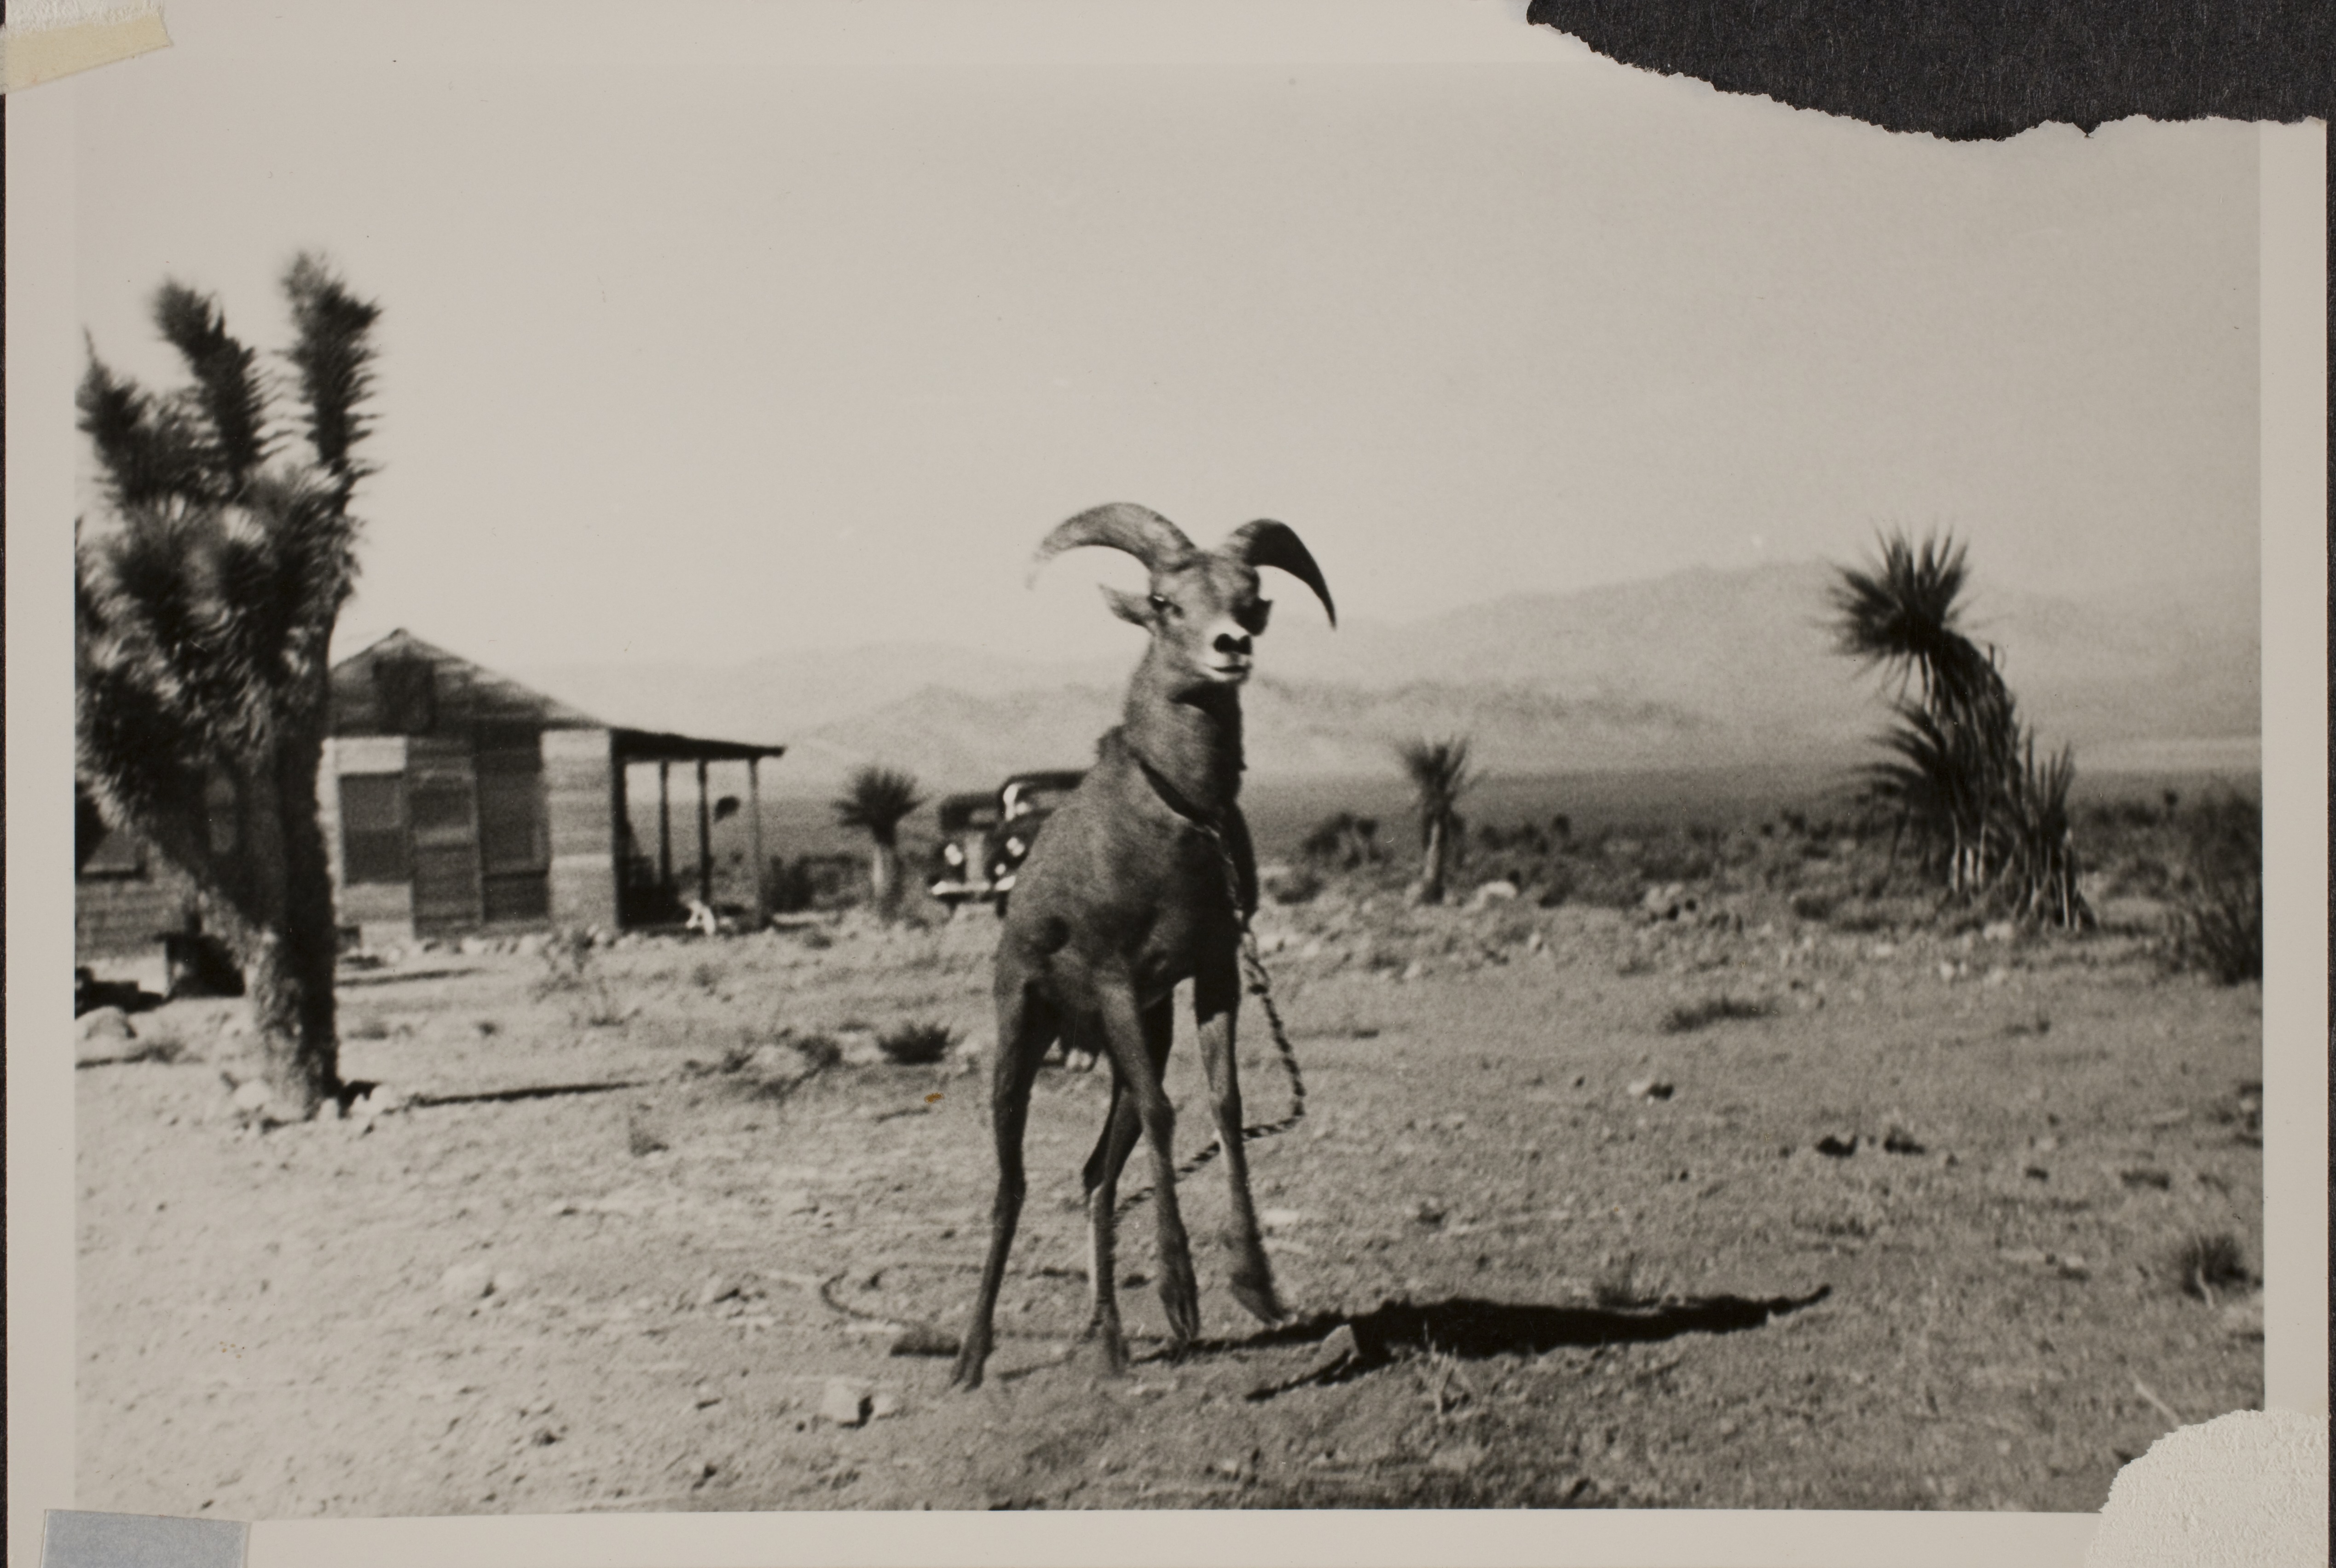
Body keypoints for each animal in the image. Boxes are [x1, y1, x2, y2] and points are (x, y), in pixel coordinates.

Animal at [948, 500, 1336, 1383]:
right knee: (1012, 1188)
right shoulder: (1118, 980)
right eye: (1164, 602)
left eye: (1251, 595)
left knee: (1097, 1173)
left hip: (1131, 1051)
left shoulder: (1212, 976)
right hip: (1025, 1044)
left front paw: (1256, 1287)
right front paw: (1182, 1296)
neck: (1177, 818)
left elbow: (1225, 1105)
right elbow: (1169, 1114)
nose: (1231, 646)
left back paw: (1115, 1346)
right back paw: (971, 1359)